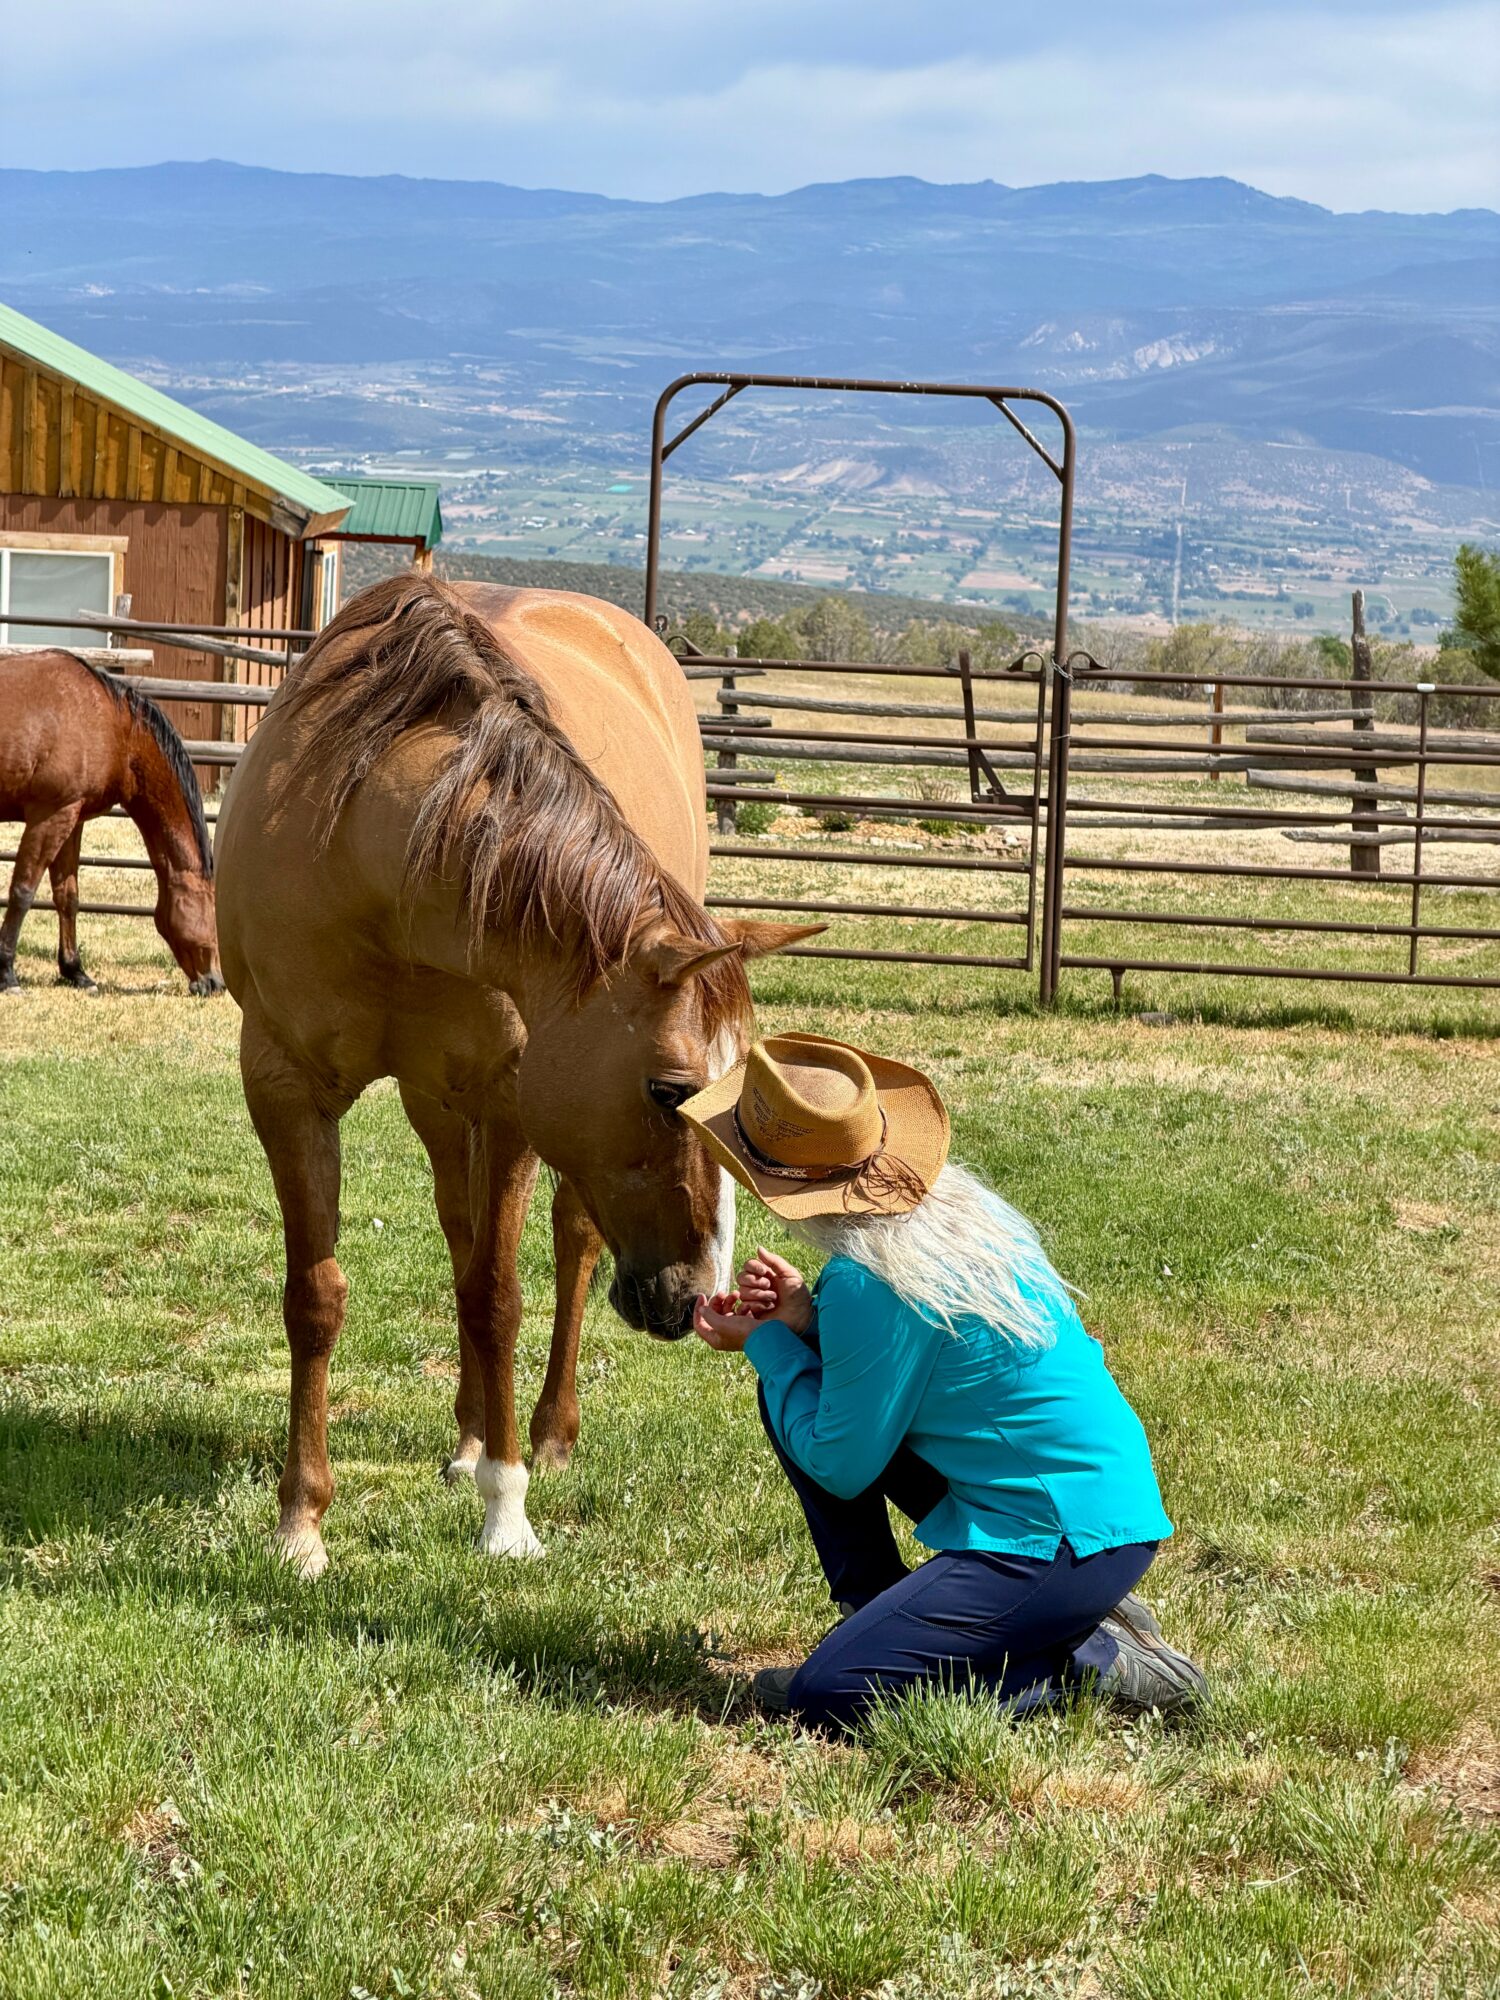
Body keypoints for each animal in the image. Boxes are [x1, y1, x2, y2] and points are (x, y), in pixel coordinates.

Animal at [0, 650, 222, 995]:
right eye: (212, 913)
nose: (214, 983)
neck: (115, 730)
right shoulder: (49, 816)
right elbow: (22, 892)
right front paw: (7, 974)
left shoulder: (71, 817)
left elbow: (68, 896)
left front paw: (75, 971)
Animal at [214, 573, 816, 1577]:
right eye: (670, 1091)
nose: (698, 1296)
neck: (375, 850)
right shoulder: (284, 1086)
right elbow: (318, 1298)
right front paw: (301, 1524)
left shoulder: (509, 1098)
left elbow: (498, 1297)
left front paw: (507, 1514)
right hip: (431, 1097)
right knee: (459, 1233)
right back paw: (464, 1439)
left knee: (571, 1242)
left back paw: (547, 1435)